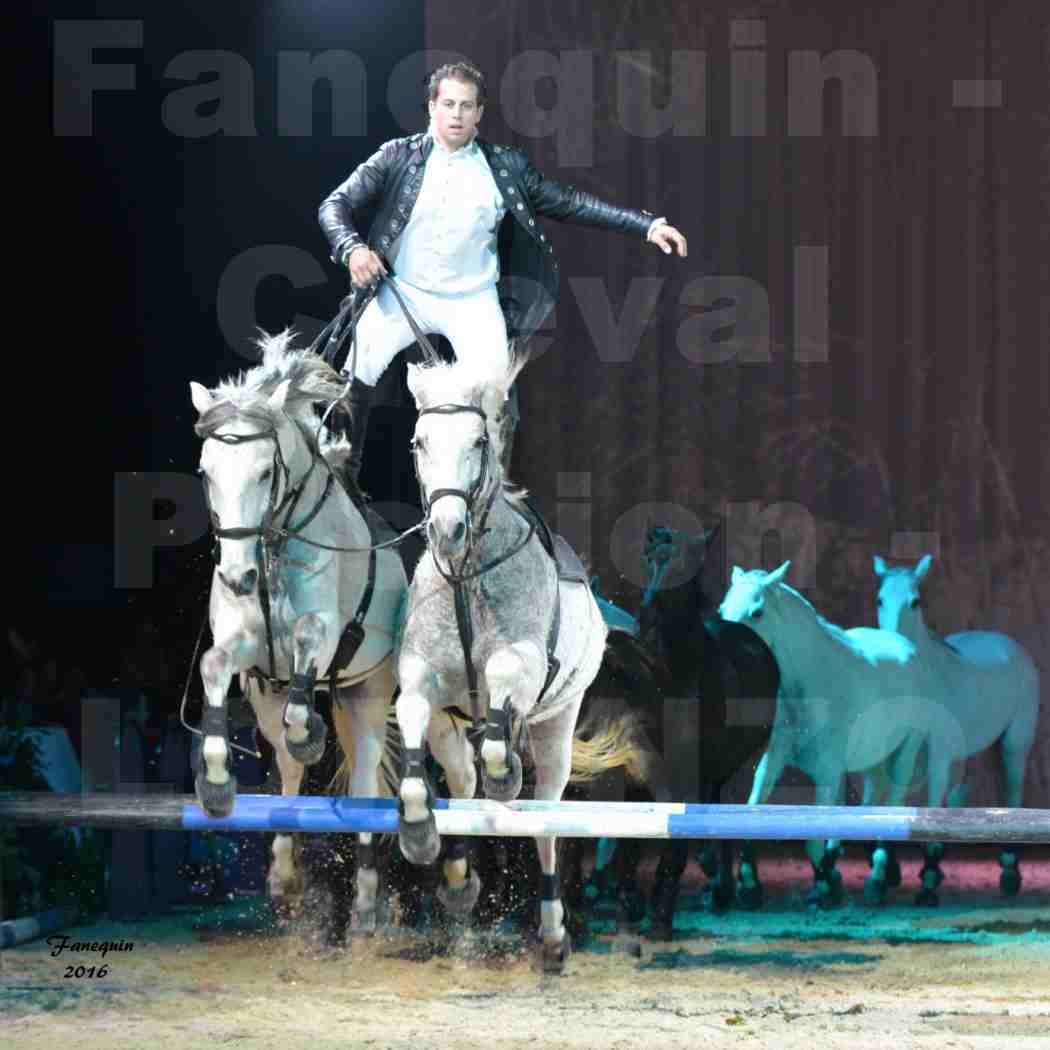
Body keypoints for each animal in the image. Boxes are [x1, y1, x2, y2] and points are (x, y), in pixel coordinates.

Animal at [188, 331, 405, 932]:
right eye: (207, 472)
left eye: (265, 472)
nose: (237, 578)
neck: (272, 548)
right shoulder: (249, 654)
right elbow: (215, 664)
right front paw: (216, 783)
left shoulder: (324, 636)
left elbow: (309, 640)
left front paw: (309, 733)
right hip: (270, 697)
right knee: (286, 771)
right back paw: (284, 876)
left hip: (367, 690)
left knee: (363, 783)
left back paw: (365, 906)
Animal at [392, 354, 630, 974]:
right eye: (419, 441)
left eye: (479, 441)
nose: (447, 530)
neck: (465, 579)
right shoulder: (423, 686)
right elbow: (413, 739)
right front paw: (419, 833)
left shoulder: (521, 669)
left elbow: (501, 683)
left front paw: (506, 773)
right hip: (452, 731)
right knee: (462, 784)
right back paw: (457, 878)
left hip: (557, 726)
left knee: (544, 816)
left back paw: (552, 933)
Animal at [583, 520, 781, 940]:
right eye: (647, 558)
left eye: (688, 563)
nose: (647, 618)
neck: (673, 675)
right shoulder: (639, 767)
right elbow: (633, 839)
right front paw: (630, 903)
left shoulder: (691, 772)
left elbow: (677, 842)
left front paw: (660, 914)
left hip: (723, 767)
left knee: (718, 806)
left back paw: (721, 885)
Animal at [722, 562, 936, 907]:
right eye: (722, 609)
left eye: (757, 612)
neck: (808, 688)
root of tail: (906, 646)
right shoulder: (773, 761)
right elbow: (752, 813)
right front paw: (750, 886)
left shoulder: (826, 772)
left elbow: (812, 841)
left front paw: (824, 888)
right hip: (870, 760)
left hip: (904, 753)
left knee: (893, 801)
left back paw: (877, 878)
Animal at [873, 558, 1037, 902]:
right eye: (880, 599)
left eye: (915, 601)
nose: (891, 648)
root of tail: (1009, 644)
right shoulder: (909, 750)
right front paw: (887, 869)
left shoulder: (938, 753)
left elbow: (932, 802)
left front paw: (926, 881)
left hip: (1014, 743)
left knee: (1013, 790)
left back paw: (1009, 866)